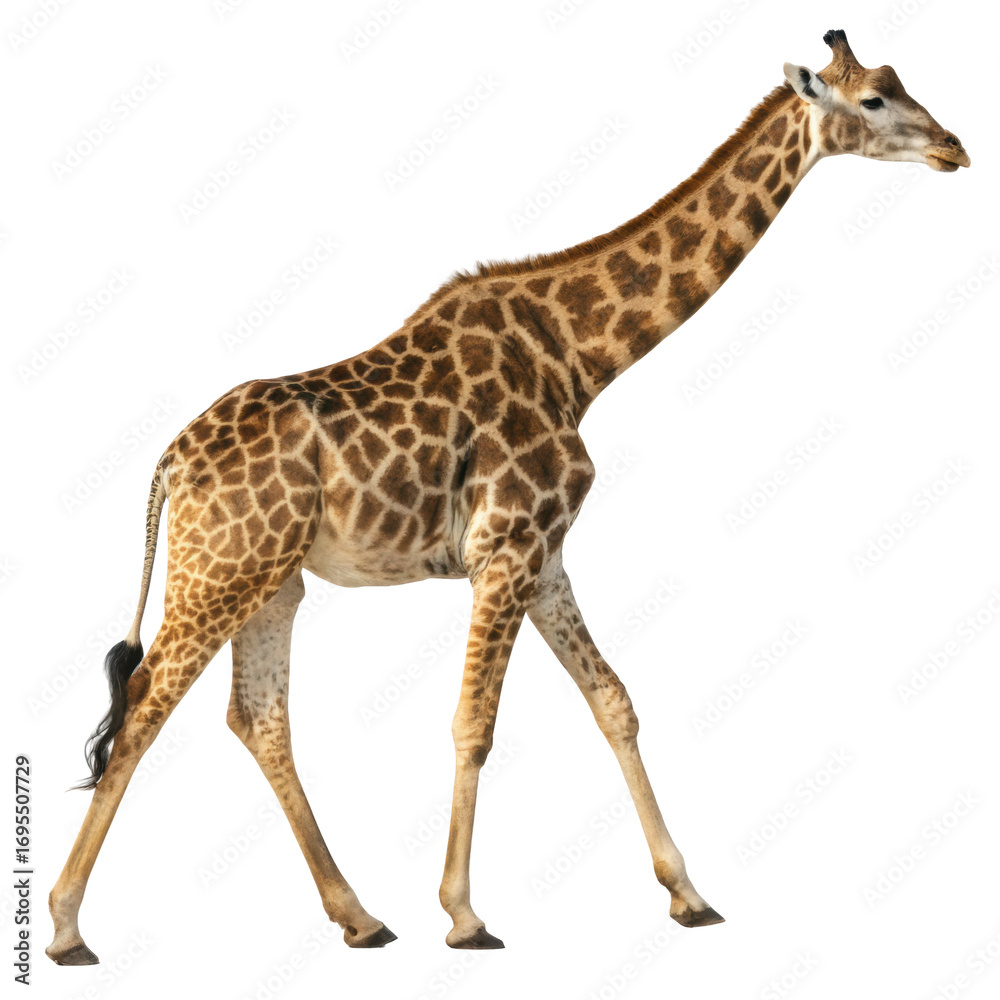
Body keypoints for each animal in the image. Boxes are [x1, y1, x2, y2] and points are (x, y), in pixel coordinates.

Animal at [47, 29, 969, 963]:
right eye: (875, 100)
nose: (954, 149)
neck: (577, 357)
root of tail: (168, 465)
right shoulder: (507, 547)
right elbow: (475, 723)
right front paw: (464, 915)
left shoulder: (546, 554)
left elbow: (615, 702)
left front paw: (688, 894)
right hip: (223, 570)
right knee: (148, 701)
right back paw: (66, 926)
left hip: (274, 582)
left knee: (257, 718)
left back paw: (359, 917)